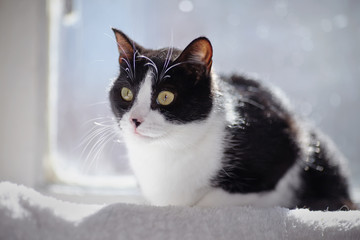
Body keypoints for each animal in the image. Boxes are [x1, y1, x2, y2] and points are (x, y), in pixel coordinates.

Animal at [108, 28, 356, 210]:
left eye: (166, 96)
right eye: (126, 93)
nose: (135, 120)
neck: (167, 150)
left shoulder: (285, 139)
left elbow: (209, 202)